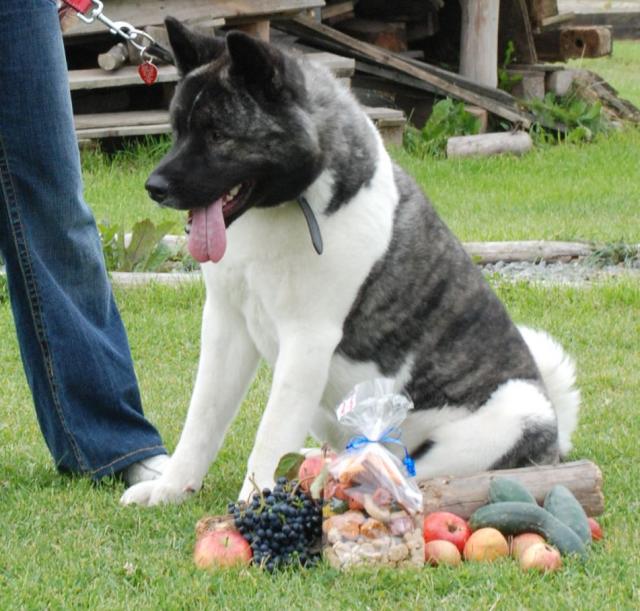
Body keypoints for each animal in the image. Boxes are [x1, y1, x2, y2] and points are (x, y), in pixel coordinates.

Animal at [121, 18, 580, 506]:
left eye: (218, 136)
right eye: (177, 130)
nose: (154, 186)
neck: (291, 203)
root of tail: (556, 436)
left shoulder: (307, 341)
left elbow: (270, 433)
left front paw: (252, 507)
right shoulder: (226, 325)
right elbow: (202, 420)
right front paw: (169, 489)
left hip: (512, 413)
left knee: (400, 465)